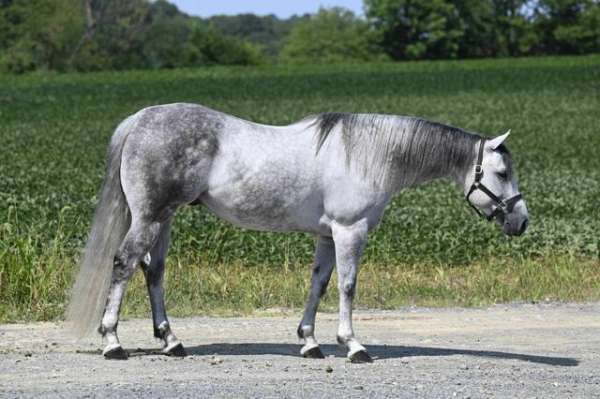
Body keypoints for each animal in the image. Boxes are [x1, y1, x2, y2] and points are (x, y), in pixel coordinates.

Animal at [68, 103, 528, 362]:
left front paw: (309, 343)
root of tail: (141, 119)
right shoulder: (350, 231)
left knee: (154, 272)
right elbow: (347, 286)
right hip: (149, 217)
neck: (369, 156)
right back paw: (112, 343)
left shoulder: (327, 235)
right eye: (502, 173)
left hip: (163, 218)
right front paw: (353, 346)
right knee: (124, 265)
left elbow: (318, 285)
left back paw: (171, 341)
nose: (521, 222)